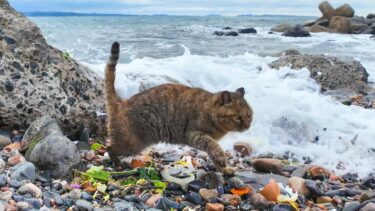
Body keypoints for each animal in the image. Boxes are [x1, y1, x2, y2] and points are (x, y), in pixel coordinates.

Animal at [104, 41, 254, 175]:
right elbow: (213, 145)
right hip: (131, 144)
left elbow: (214, 156)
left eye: (249, 116)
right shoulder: (193, 134)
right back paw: (117, 163)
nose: (247, 126)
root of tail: (120, 103)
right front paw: (222, 159)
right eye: (238, 117)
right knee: (109, 147)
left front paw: (224, 169)